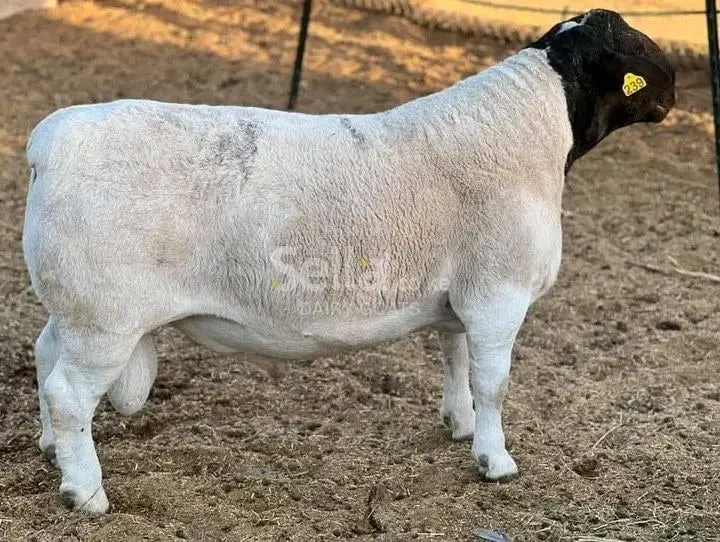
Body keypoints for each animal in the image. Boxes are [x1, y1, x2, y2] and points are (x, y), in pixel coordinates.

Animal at [22, 9, 675, 513]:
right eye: (636, 48)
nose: (673, 96)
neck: (533, 130)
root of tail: (47, 142)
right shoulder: (498, 292)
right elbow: (494, 381)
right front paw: (495, 460)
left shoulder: (461, 296)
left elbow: (454, 357)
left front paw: (459, 423)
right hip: (105, 315)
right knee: (68, 393)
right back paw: (85, 494)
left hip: (73, 305)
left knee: (44, 355)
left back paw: (52, 449)